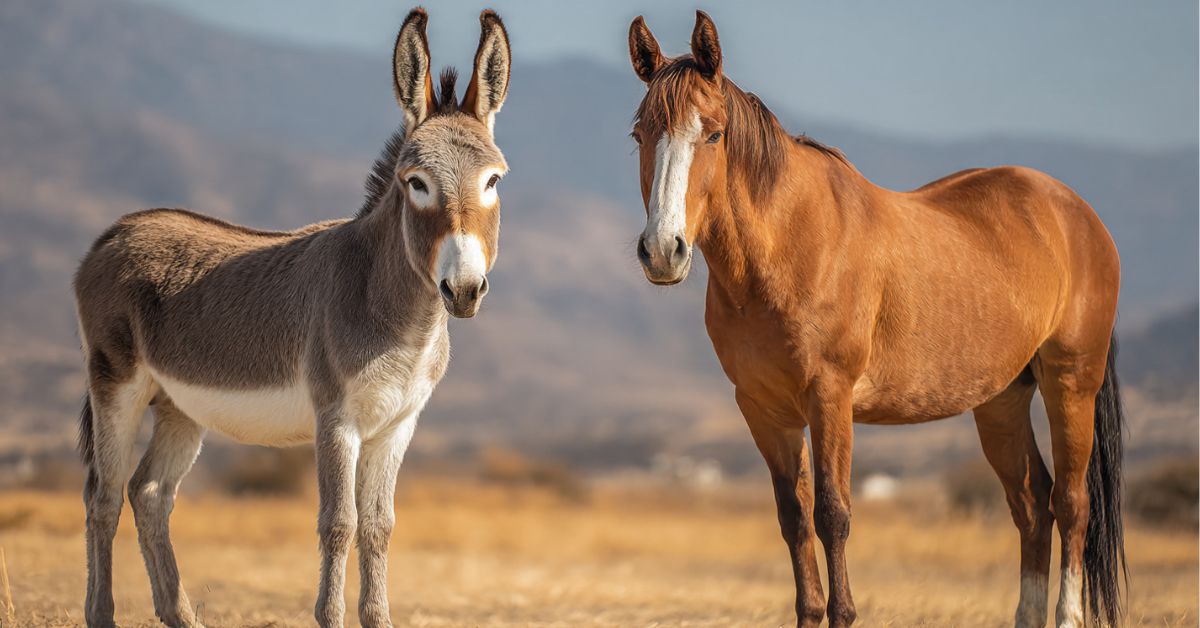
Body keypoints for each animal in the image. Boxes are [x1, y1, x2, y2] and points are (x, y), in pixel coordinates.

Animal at [72, 8, 511, 627]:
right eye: (416, 183)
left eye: (492, 181)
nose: (465, 289)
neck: (402, 323)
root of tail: (117, 231)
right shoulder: (336, 421)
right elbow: (339, 524)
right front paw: (329, 615)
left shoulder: (397, 426)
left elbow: (379, 527)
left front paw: (378, 617)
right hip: (116, 385)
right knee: (103, 497)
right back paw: (102, 613)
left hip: (180, 406)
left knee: (150, 493)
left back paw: (181, 615)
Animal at [627, 11, 1124, 628]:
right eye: (640, 134)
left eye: (714, 134)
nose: (662, 251)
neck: (788, 246)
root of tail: (1076, 212)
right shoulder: (764, 409)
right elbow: (793, 519)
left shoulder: (830, 397)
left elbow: (833, 515)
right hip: (1003, 398)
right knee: (1032, 506)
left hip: (1071, 382)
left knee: (1072, 504)